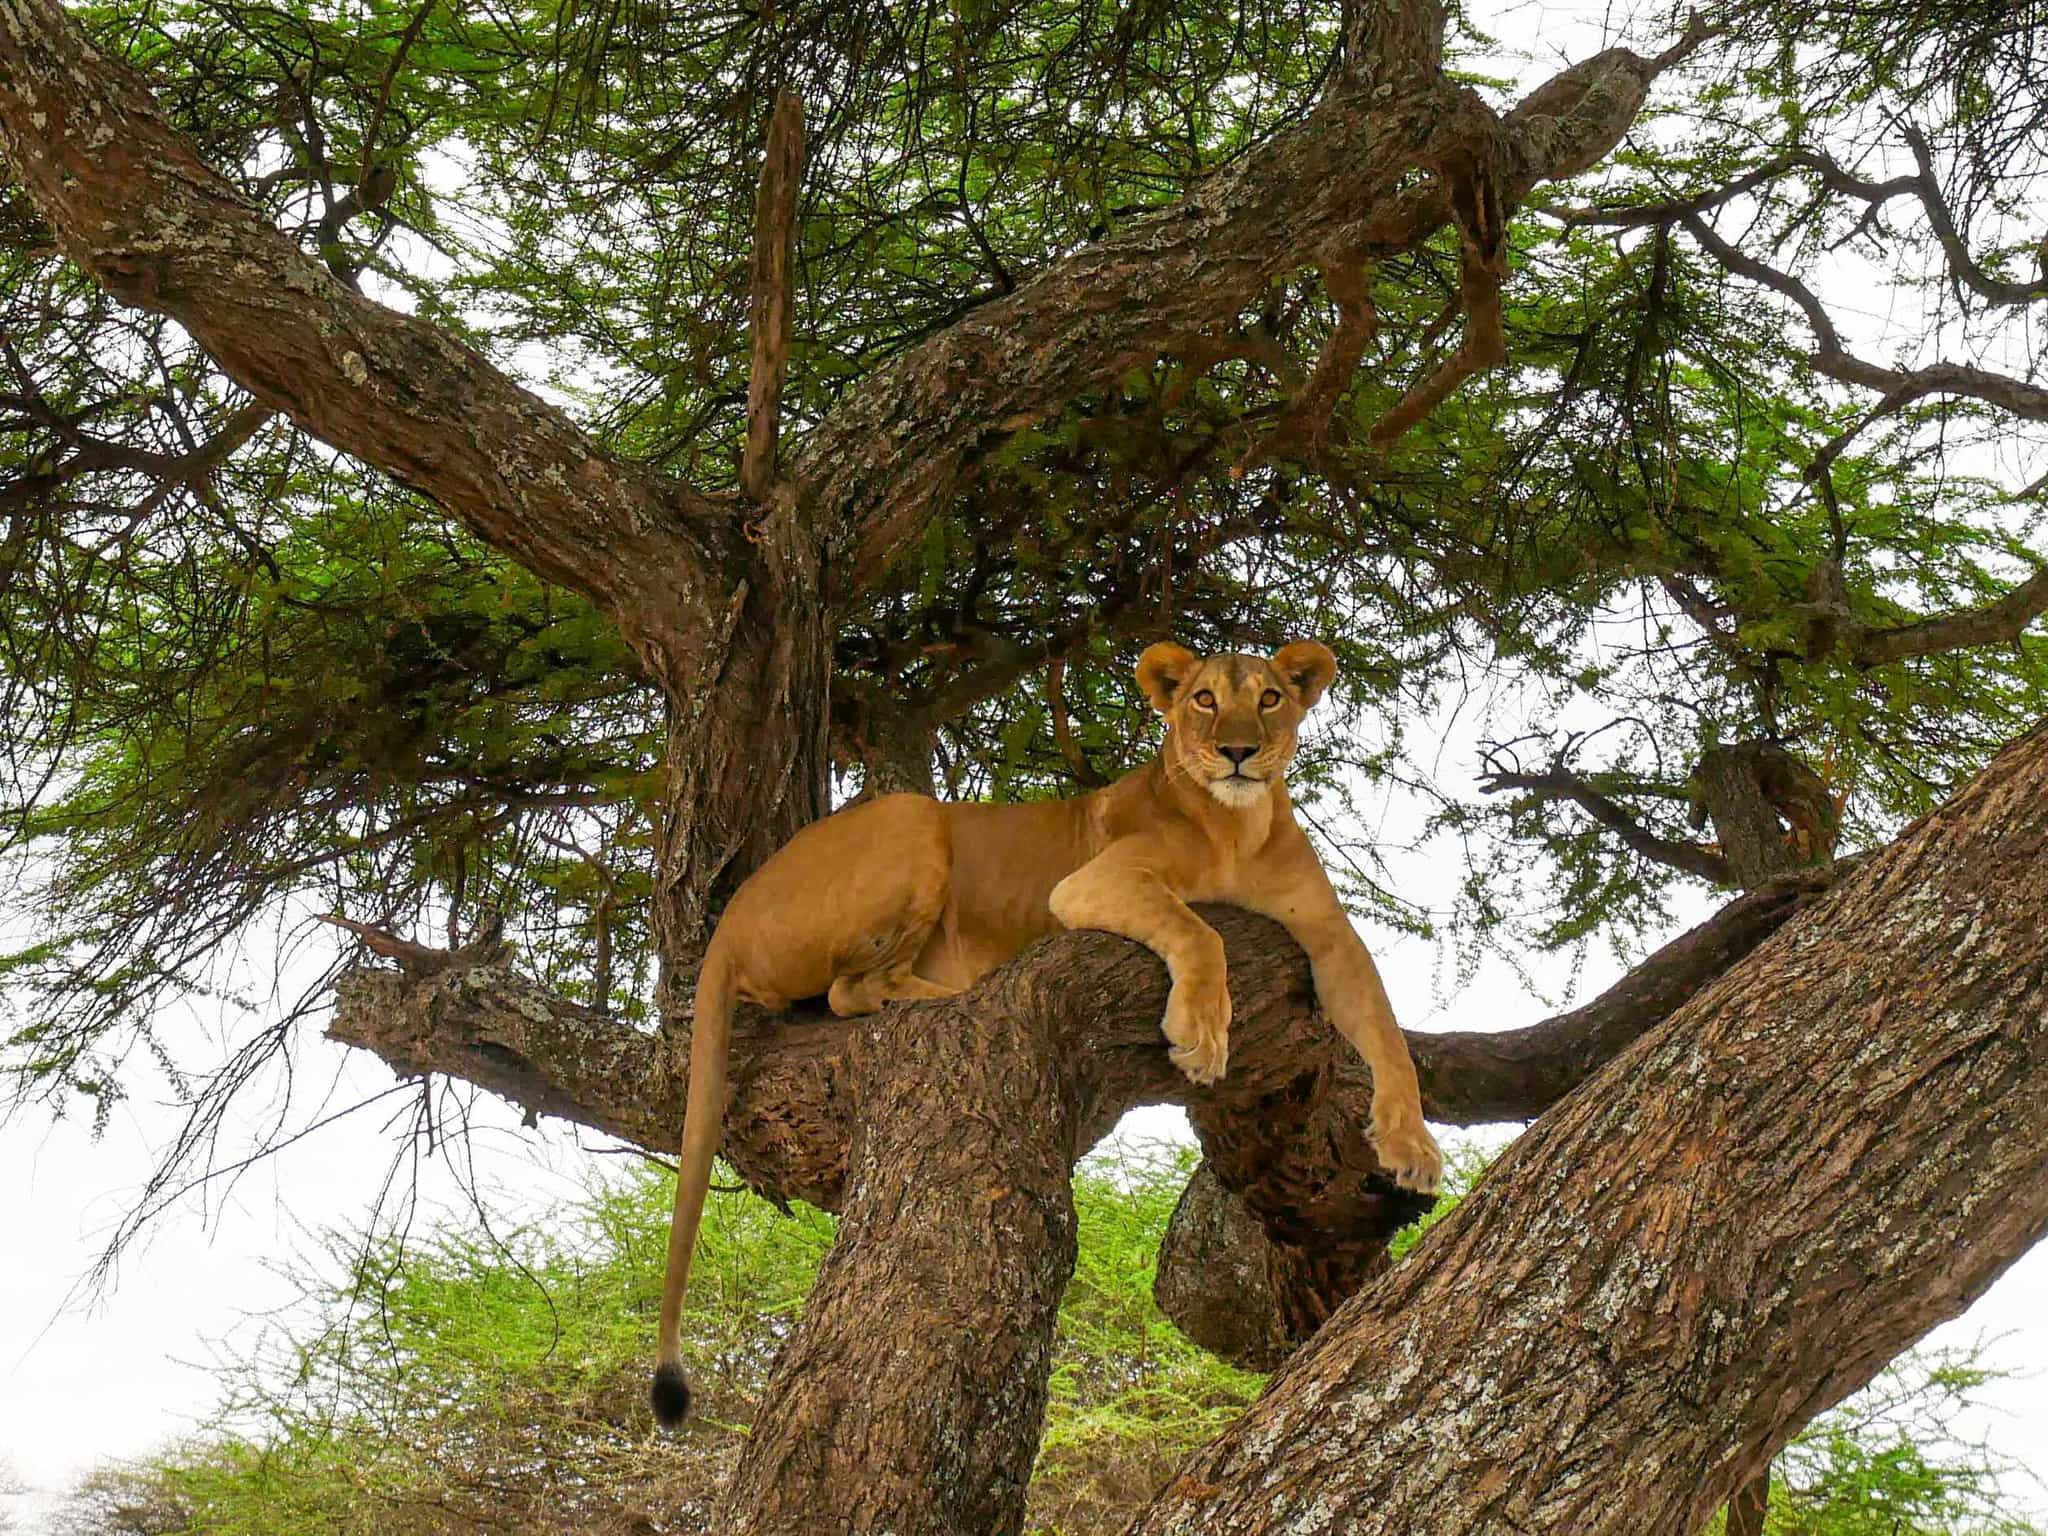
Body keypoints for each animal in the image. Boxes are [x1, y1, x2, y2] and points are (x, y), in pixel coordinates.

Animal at [650, 639, 1442, 1426]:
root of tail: (733, 913)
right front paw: (1199, 1033)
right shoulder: (1092, 884)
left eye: (1270, 698)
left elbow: (1385, 1031)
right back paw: (964, 986)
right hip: (912, 820)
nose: (1239, 751)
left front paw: (1412, 1148)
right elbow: (1200, 930)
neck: (1237, 826)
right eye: (1204, 700)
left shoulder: (1331, 938)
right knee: (852, 992)